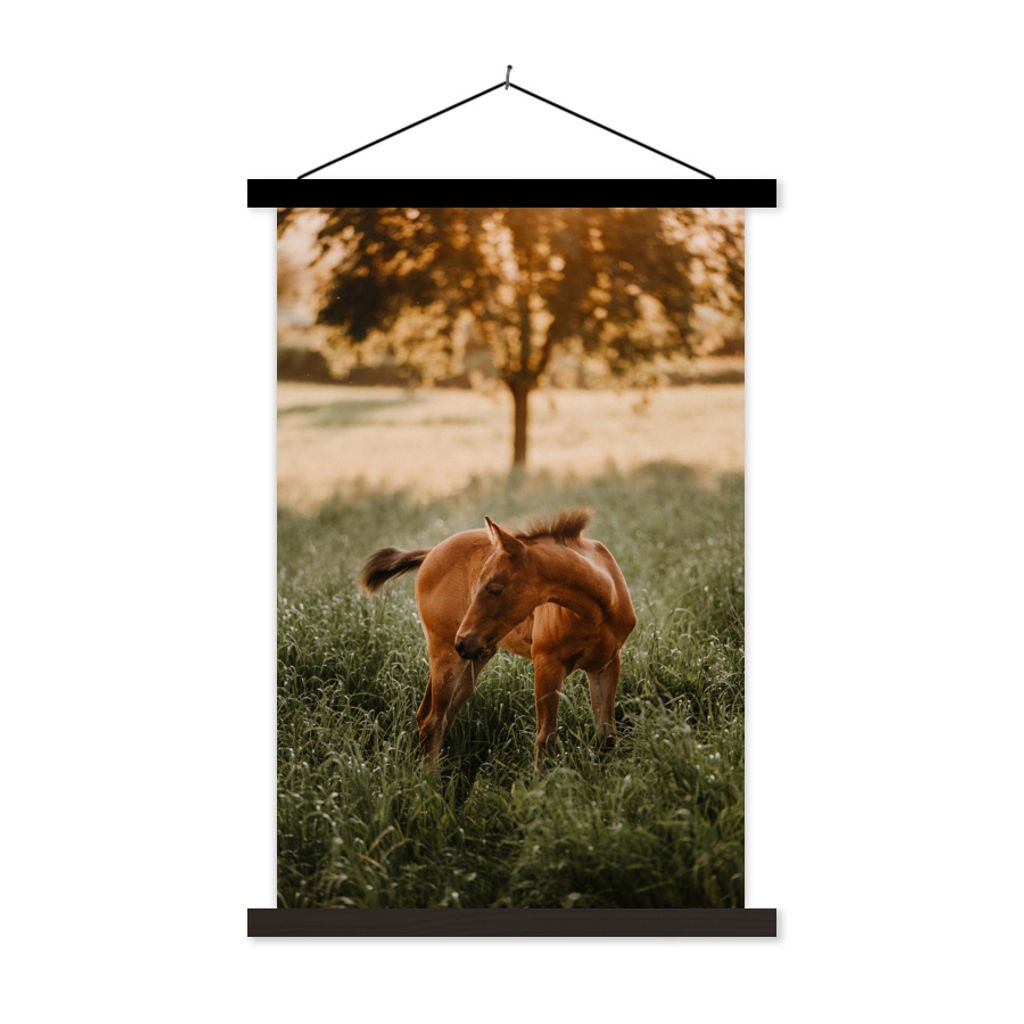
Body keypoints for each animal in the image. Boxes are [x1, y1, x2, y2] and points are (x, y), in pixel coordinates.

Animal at [360, 508, 636, 767]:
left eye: (494, 589)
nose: (462, 641)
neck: (599, 609)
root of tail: (431, 553)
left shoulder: (606, 665)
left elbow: (606, 736)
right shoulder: (547, 665)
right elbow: (545, 739)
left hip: (474, 659)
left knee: (438, 716)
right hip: (446, 655)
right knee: (432, 720)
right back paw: (431, 783)